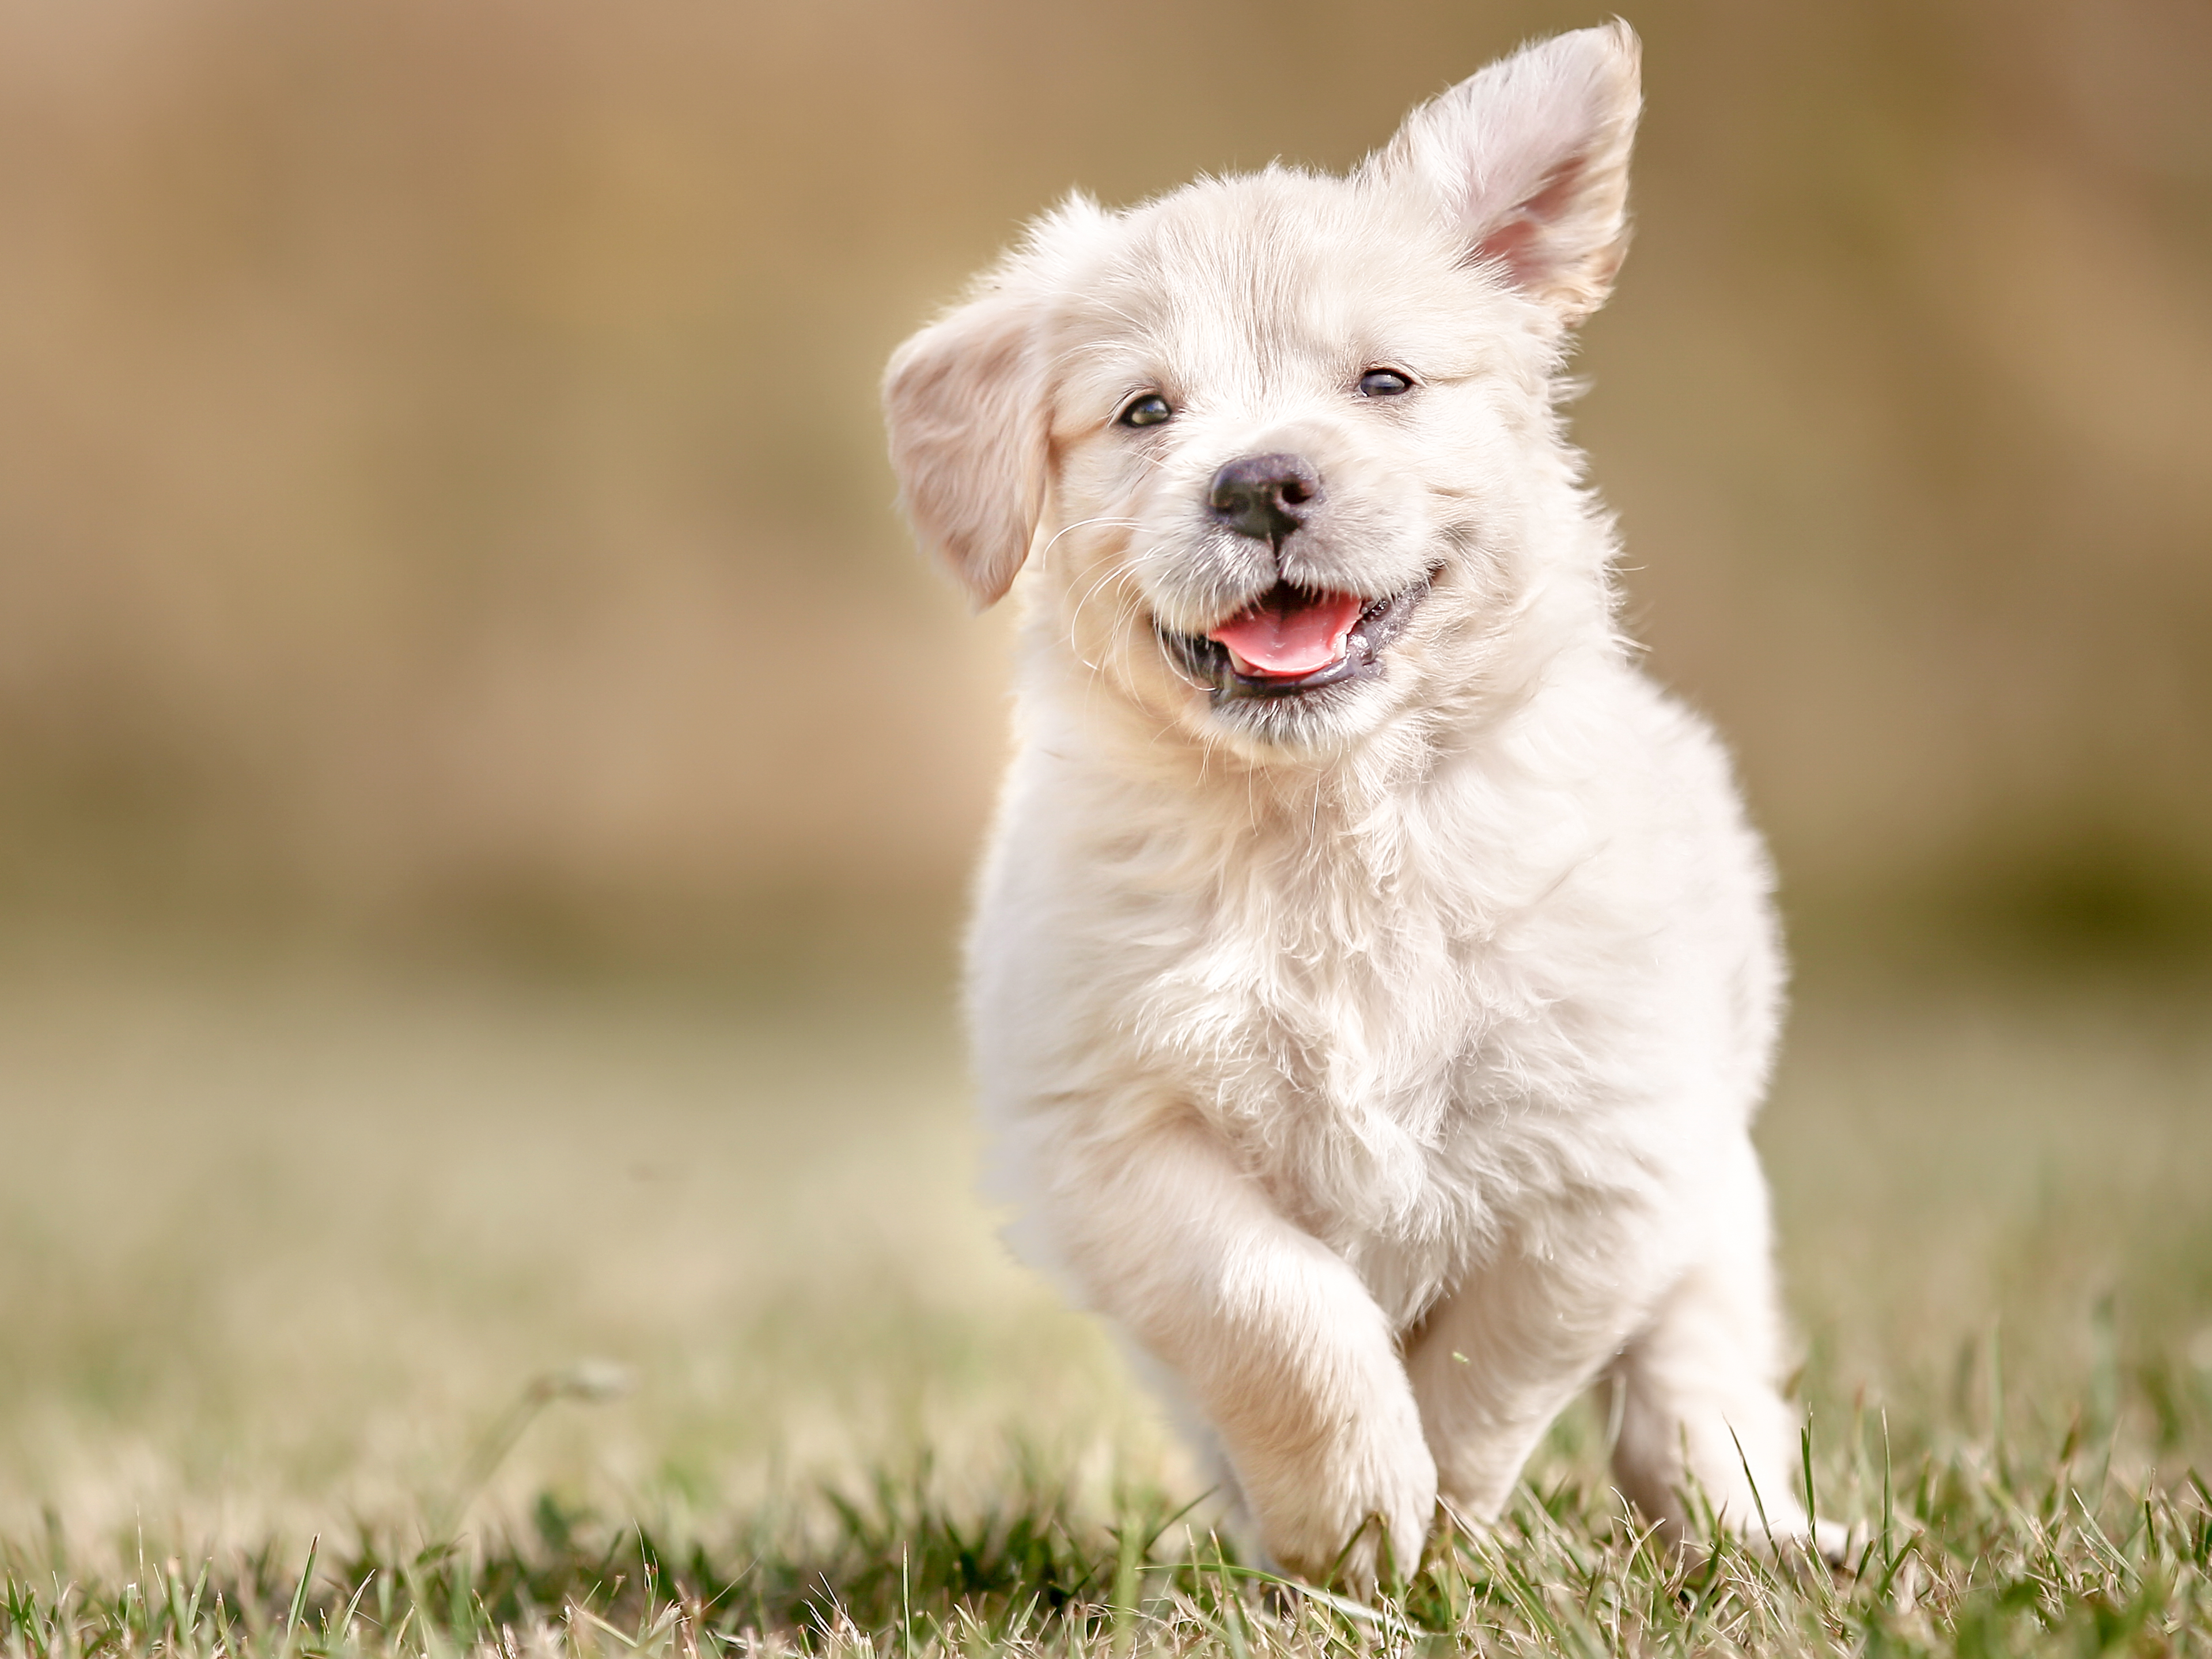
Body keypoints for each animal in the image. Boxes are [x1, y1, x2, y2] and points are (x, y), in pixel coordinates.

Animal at [880, 16, 1831, 1601]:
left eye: (1384, 383)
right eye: (1145, 410)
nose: (1260, 483)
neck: (1324, 820)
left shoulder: (1613, 1153)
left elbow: (1500, 1360)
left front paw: (1433, 1525)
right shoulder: (1112, 1134)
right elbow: (1274, 1311)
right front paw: (1355, 1519)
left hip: (1720, 1197)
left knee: (1696, 1380)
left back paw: (1761, 1533)